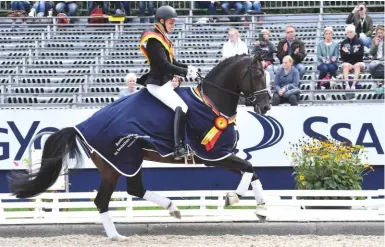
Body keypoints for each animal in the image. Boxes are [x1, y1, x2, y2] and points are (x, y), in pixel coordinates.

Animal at [6, 53, 270, 240]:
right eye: (257, 75)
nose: (266, 106)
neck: (211, 103)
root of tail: (81, 126)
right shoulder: (212, 155)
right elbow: (248, 168)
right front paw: (233, 198)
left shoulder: (221, 155)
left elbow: (253, 171)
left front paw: (261, 210)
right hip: (117, 163)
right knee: (103, 199)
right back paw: (116, 236)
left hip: (131, 160)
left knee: (134, 189)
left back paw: (172, 208)